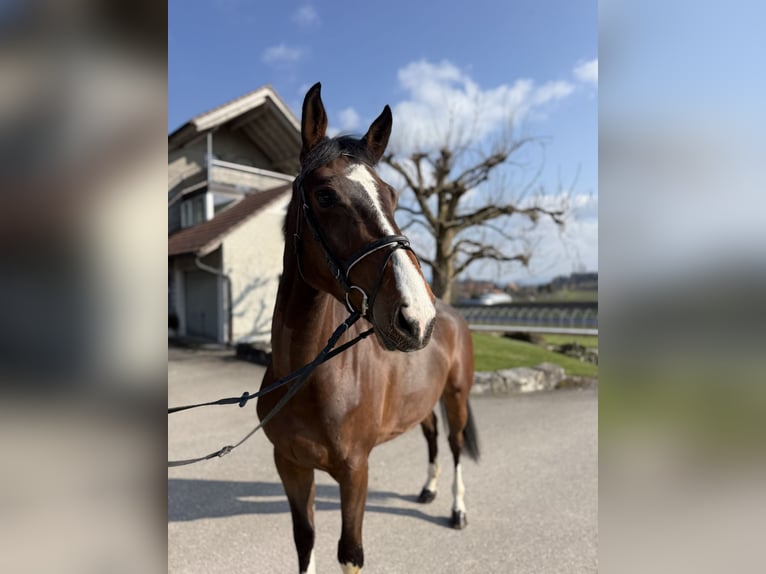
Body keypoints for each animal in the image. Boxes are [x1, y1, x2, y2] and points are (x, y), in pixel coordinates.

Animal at [256, 83, 480, 574]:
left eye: (392, 196)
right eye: (324, 196)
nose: (416, 315)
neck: (309, 378)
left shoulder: (355, 471)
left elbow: (350, 553)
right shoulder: (290, 466)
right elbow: (305, 541)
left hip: (456, 396)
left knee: (454, 444)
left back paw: (457, 510)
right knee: (431, 436)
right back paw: (428, 490)